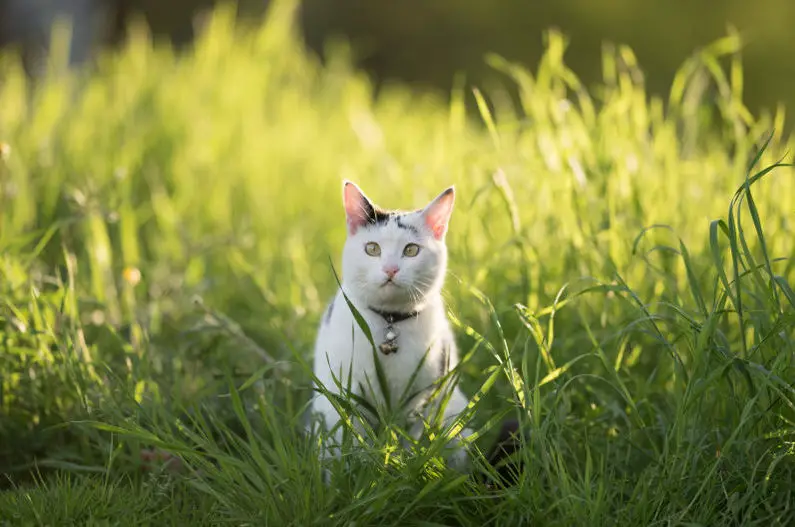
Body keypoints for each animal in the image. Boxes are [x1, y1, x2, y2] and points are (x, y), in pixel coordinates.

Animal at [310, 180, 472, 470]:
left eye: (411, 250)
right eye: (372, 248)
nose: (390, 269)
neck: (390, 322)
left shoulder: (421, 401)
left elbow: (410, 441)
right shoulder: (347, 395)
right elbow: (352, 440)